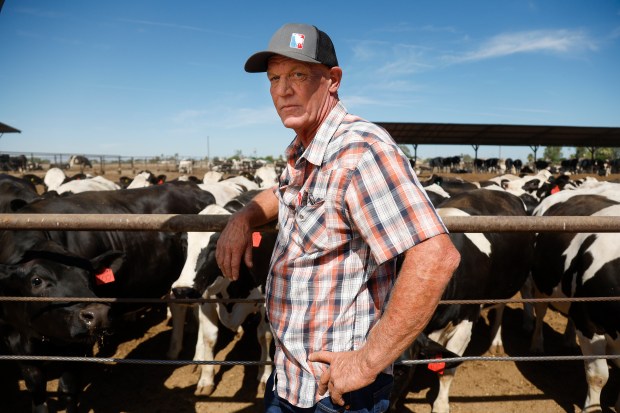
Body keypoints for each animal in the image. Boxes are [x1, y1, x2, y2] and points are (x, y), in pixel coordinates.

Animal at [0, 180, 218, 408]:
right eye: (37, 281)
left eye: (88, 275)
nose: (97, 314)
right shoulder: (15, 341)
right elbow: (37, 391)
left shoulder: (78, 345)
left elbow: (68, 389)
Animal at [170, 190, 276, 396]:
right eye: (184, 244)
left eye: (215, 246)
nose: (182, 290)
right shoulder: (206, 298)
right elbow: (209, 337)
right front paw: (206, 378)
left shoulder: (265, 302)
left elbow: (264, 336)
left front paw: (265, 375)